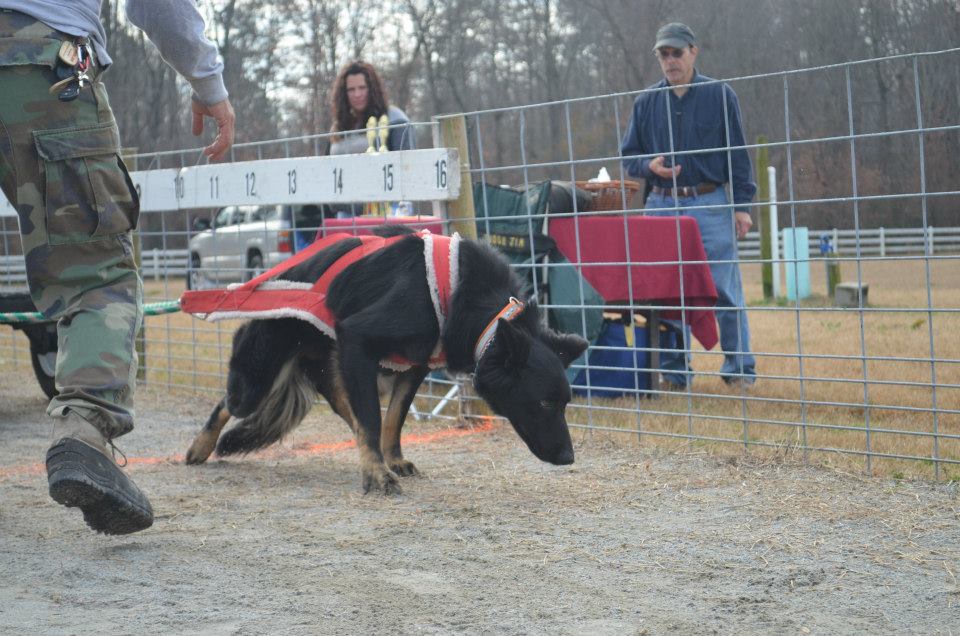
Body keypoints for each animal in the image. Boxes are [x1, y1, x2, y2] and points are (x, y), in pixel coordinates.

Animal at [179, 226, 584, 494]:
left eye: (566, 403)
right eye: (544, 403)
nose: (568, 457)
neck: (467, 300)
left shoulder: (414, 366)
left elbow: (393, 419)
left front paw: (391, 460)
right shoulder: (359, 340)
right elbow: (375, 420)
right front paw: (375, 473)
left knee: (347, 408)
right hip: (261, 377)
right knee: (228, 402)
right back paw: (200, 446)